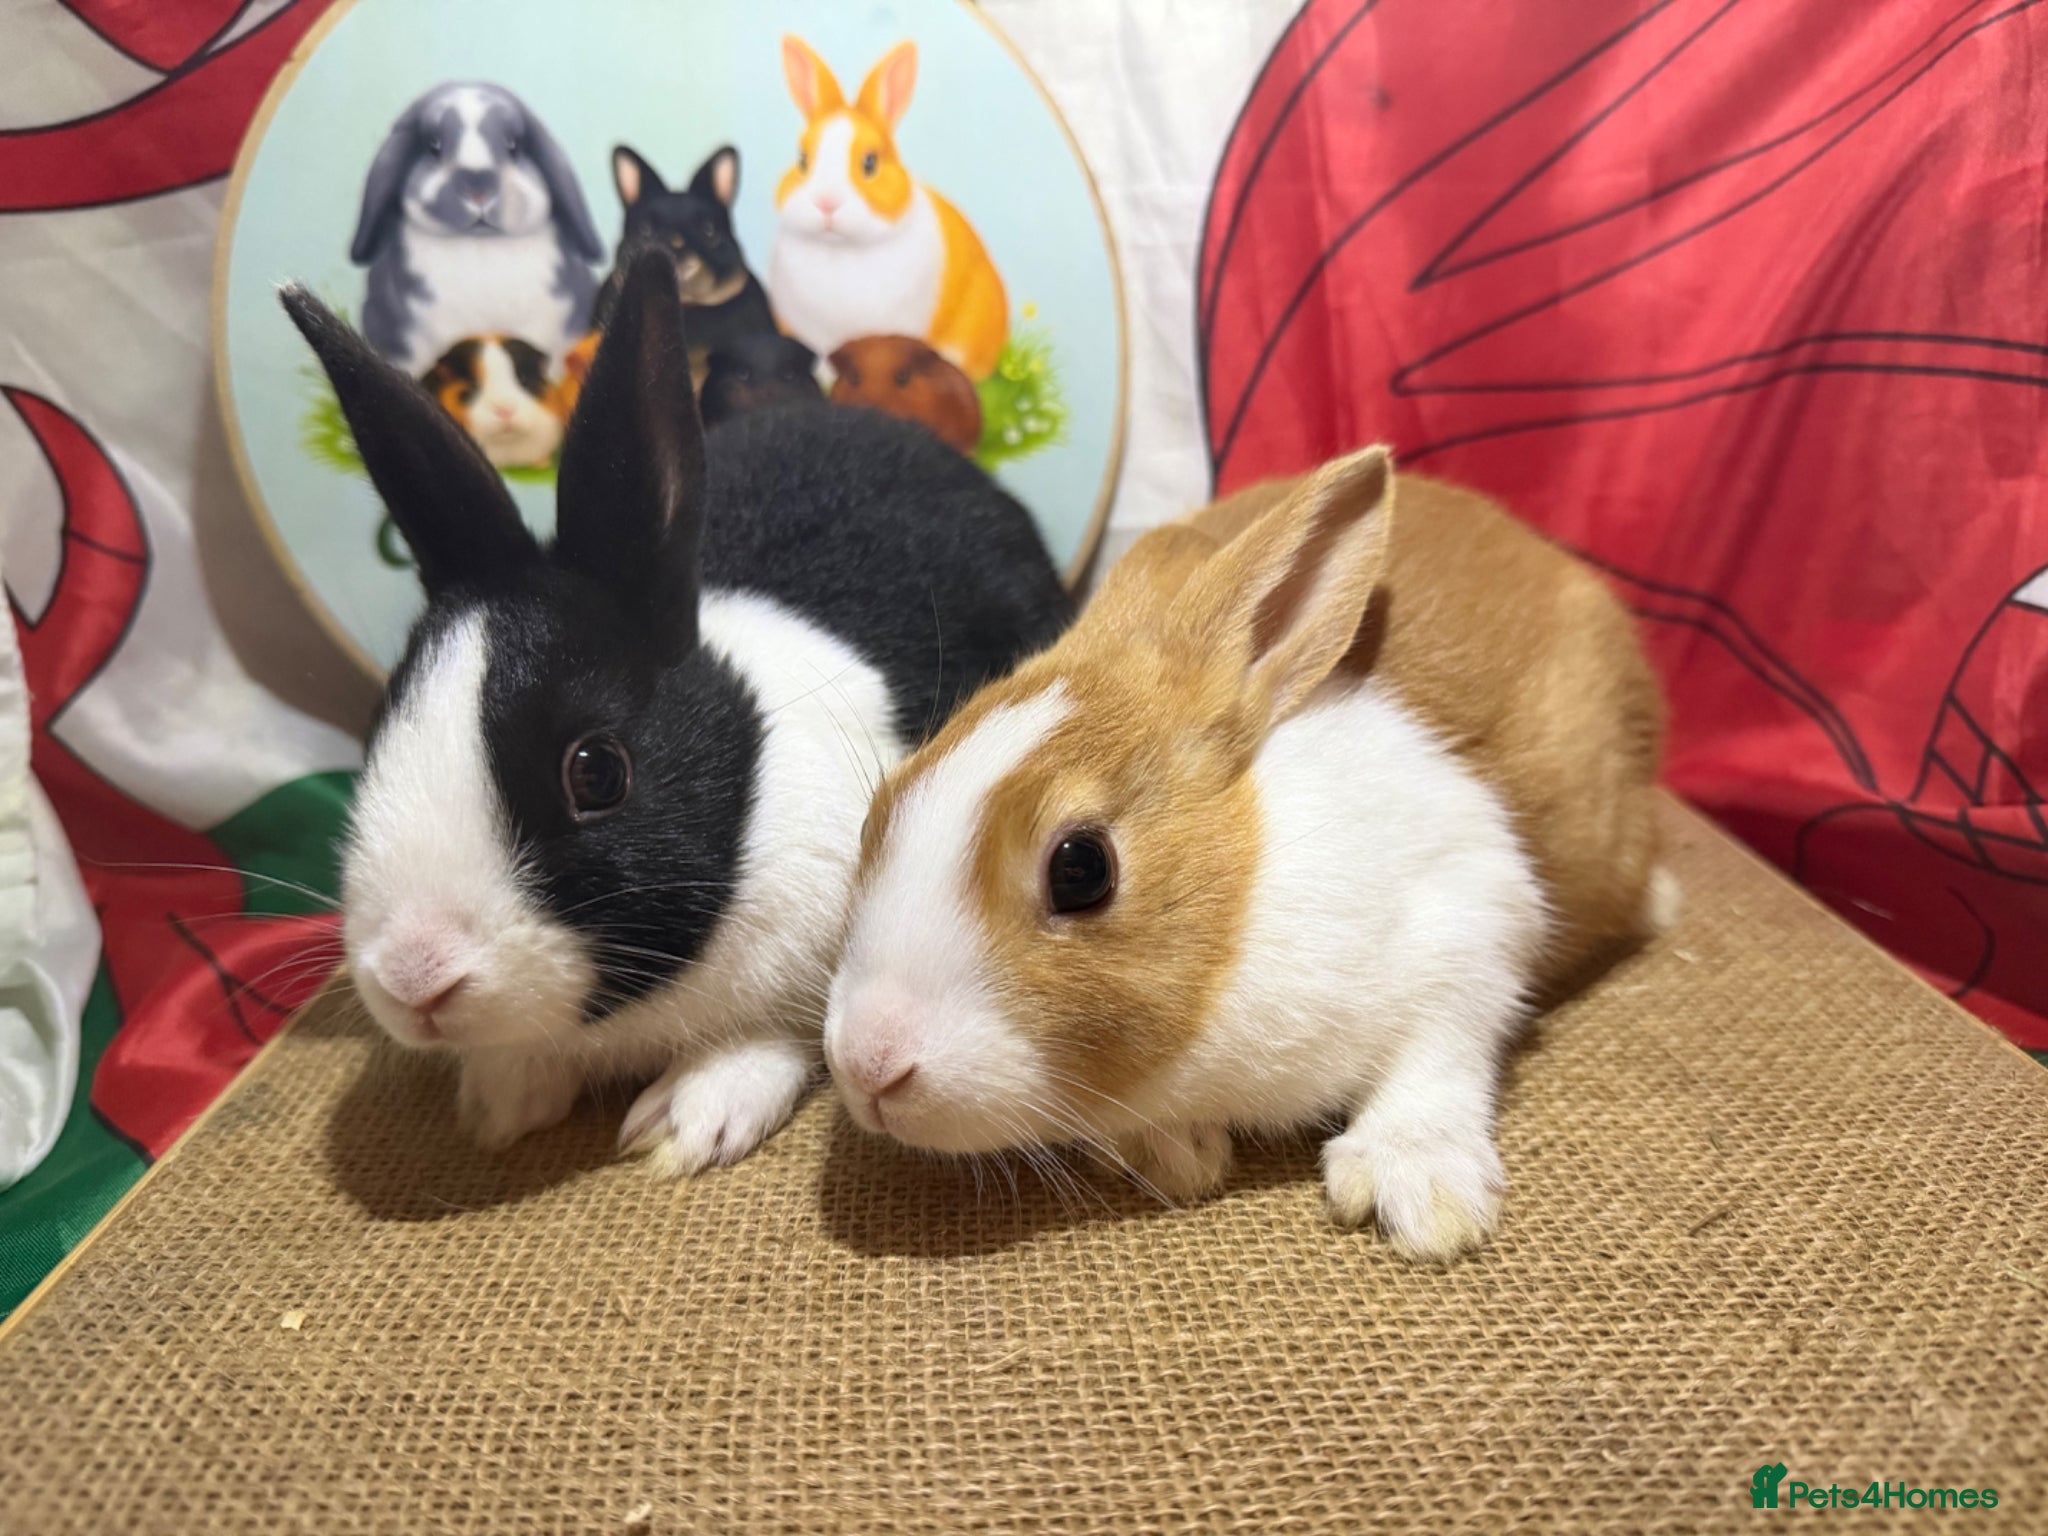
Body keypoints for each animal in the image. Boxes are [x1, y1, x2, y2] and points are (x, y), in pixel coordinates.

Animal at [822, 448, 1675, 1261]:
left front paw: (1420, 1195)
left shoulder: (1472, 916)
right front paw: (1168, 1155)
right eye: (877, 812)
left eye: (1081, 870)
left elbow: (1440, 1050)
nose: (867, 1067)